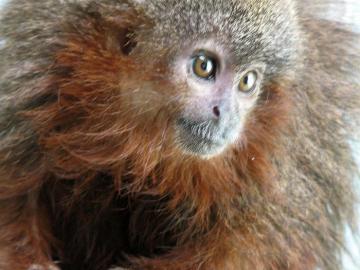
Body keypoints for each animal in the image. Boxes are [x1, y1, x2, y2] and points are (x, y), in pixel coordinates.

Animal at [0, 0, 358, 268]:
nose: (226, 114)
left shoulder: (288, 153)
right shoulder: (38, 63)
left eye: (247, 81)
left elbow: (246, 250)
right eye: (204, 66)